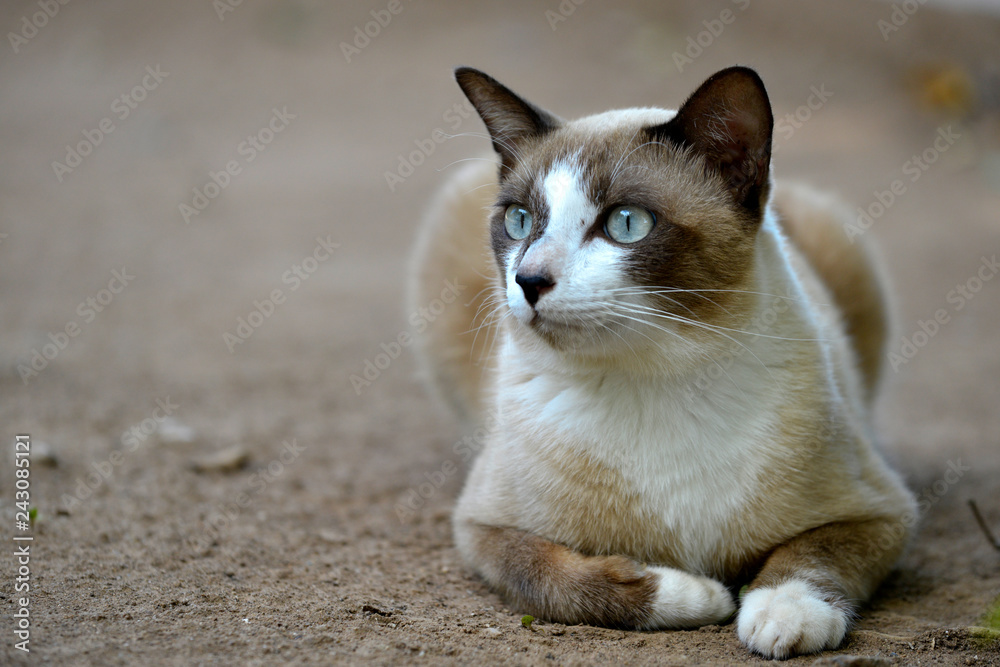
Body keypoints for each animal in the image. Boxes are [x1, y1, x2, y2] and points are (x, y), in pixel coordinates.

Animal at [406, 65, 916, 660]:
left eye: (626, 223)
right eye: (519, 220)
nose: (527, 281)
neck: (653, 378)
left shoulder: (880, 513)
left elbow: (811, 558)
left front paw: (780, 616)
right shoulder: (482, 530)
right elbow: (555, 578)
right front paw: (703, 595)